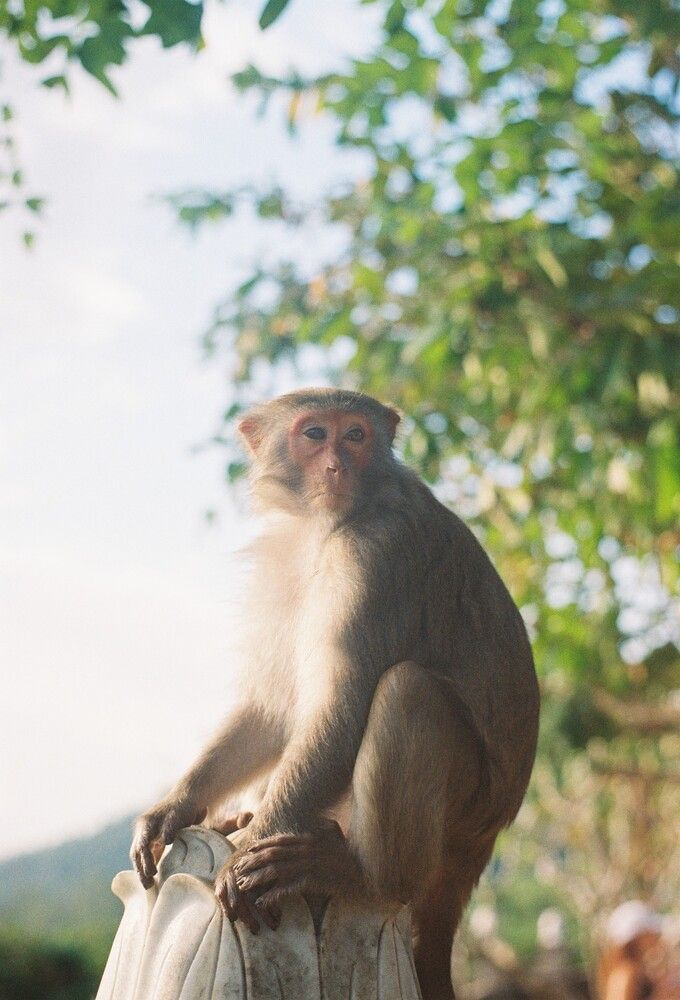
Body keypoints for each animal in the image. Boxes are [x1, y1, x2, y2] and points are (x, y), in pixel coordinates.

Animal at [131, 388, 539, 1000]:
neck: (321, 525)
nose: (336, 467)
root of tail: (491, 833)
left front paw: (249, 854)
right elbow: (271, 714)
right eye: (315, 433)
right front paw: (176, 805)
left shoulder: (374, 556)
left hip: (467, 806)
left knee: (408, 692)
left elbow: (343, 707)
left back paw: (364, 876)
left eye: (355, 435)